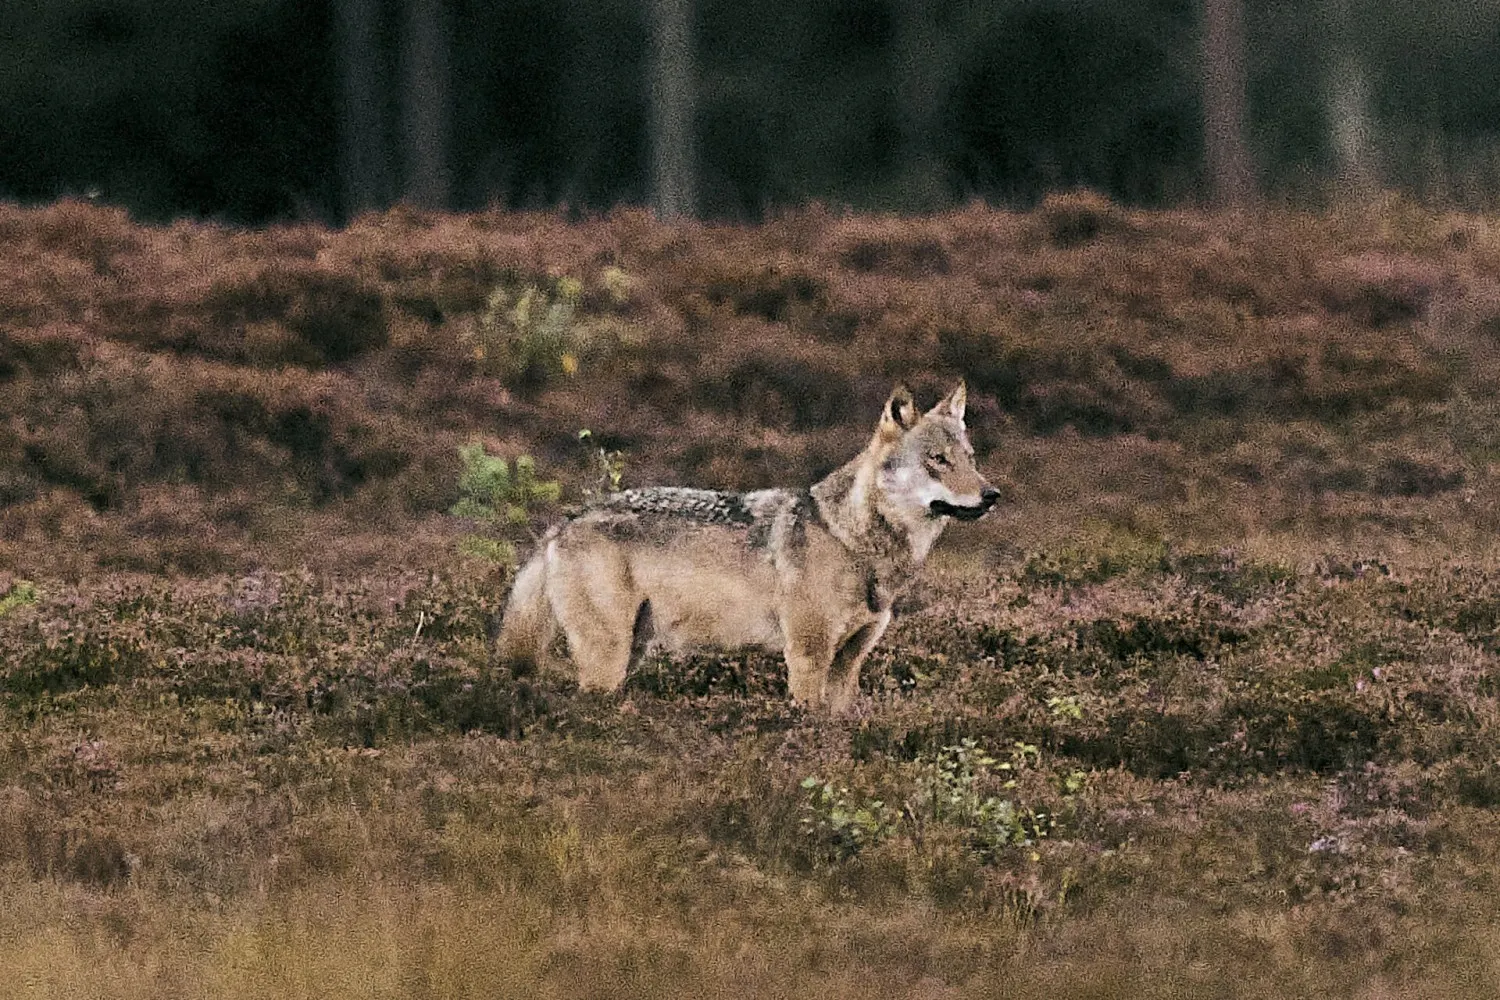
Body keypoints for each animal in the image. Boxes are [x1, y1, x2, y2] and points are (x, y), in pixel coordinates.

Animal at [496, 381, 999, 712]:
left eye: (970, 459)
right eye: (937, 460)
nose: (992, 495)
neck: (852, 541)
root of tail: (564, 522)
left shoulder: (849, 663)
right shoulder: (807, 656)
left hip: (629, 653)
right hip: (607, 659)